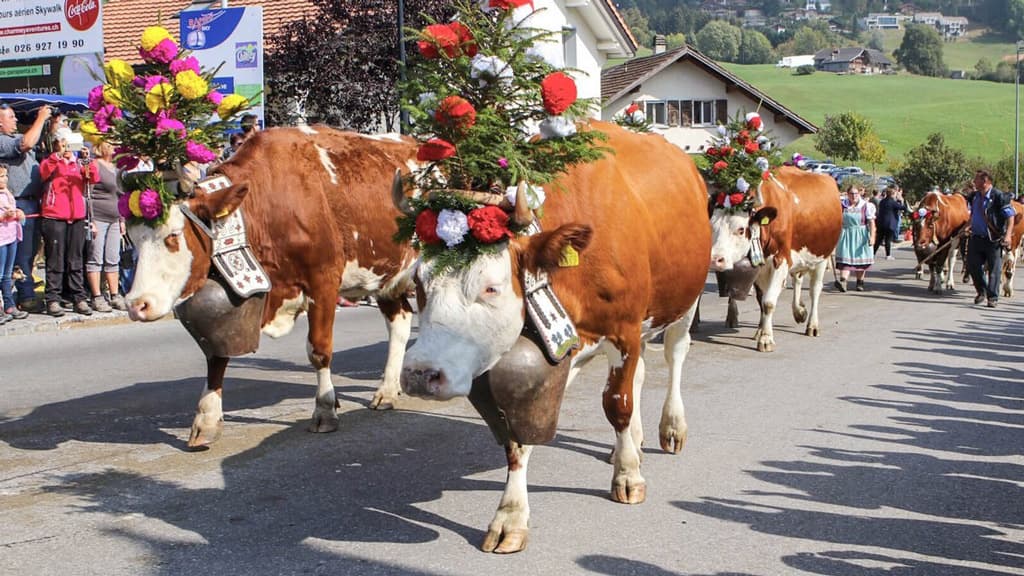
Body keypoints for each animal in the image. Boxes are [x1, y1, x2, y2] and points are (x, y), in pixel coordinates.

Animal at [124, 125, 419, 448]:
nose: (136, 304)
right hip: (386, 274)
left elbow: (319, 349)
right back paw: (387, 390)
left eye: (173, 236)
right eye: (132, 238)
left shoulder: (323, 280)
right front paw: (206, 420)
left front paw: (325, 409)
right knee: (400, 321)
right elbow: (216, 352)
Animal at [395, 120, 708, 553]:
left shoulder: (625, 329)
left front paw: (628, 476)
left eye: (491, 287)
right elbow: (518, 435)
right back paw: (630, 442)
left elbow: (618, 404)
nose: (420, 374)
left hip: (683, 302)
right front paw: (510, 515)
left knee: (674, 357)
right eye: (419, 284)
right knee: (641, 373)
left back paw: (670, 429)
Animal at [708, 167, 843, 350]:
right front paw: (760, 331)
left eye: (741, 229)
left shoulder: (781, 260)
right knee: (798, 279)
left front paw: (766, 338)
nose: (715, 259)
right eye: (712, 226)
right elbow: (761, 299)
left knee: (815, 290)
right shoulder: (760, 268)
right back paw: (799, 311)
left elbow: (768, 302)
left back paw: (812, 325)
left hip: (822, 257)